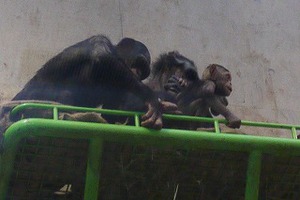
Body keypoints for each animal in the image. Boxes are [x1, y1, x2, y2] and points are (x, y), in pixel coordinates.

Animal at [11, 34, 163, 130]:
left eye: (144, 72)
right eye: (138, 64)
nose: (138, 74)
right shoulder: (100, 40)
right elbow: (101, 55)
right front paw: (151, 98)